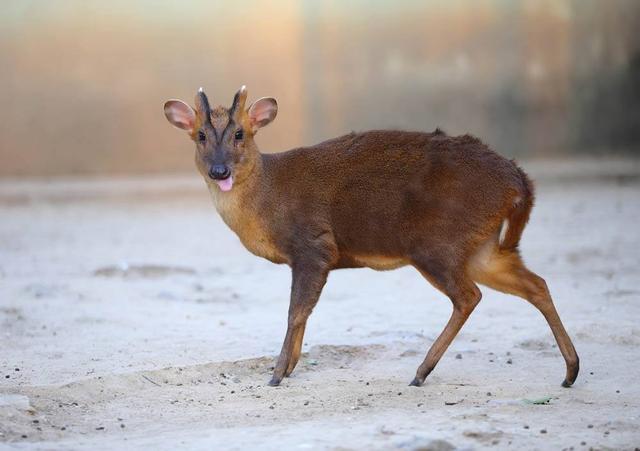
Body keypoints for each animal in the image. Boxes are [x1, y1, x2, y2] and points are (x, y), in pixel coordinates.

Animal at [164, 85, 580, 388]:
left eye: (239, 133)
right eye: (200, 135)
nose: (220, 171)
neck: (267, 200)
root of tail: (518, 180)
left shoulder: (314, 244)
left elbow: (297, 310)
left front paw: (278, 373)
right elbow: (302, 312)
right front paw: (290, 366)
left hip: (436, 243)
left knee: (469, 296)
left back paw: (421, 372)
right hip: (482, 246)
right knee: (536, 284)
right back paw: (570, 371)